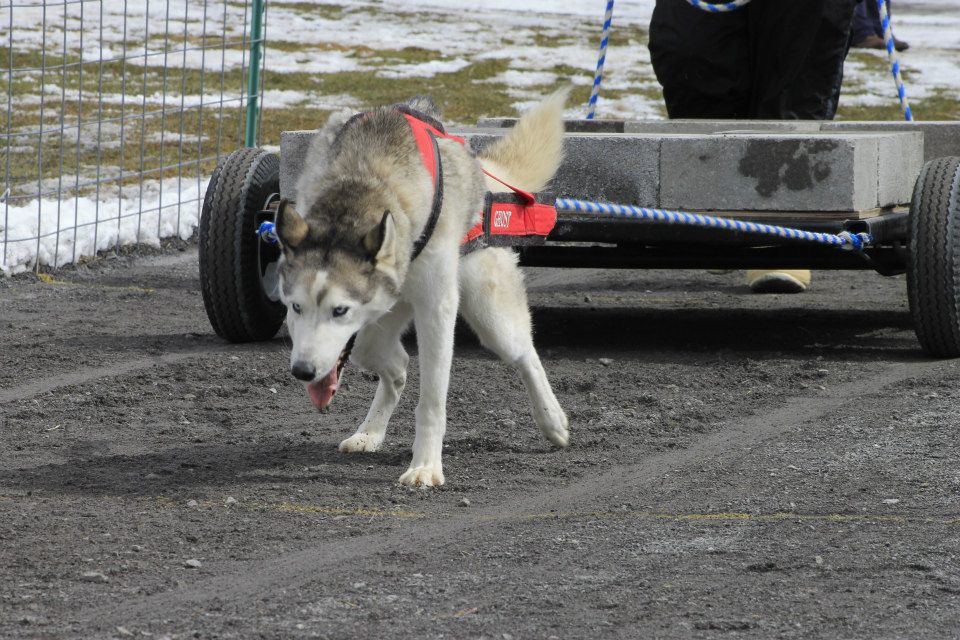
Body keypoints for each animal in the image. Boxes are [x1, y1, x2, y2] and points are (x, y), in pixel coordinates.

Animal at [274, 91, 568, 484]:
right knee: (388, 358)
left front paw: (426, 465)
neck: (364, 179)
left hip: (490, 315)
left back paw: (552, 420)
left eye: (340, 310)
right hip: (385, 317)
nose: (303, 371)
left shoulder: (436, 307)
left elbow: (431, 401)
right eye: (295, 307)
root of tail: (481, 175)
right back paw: (370, 430)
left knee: (525, 354)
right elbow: (389, 362)